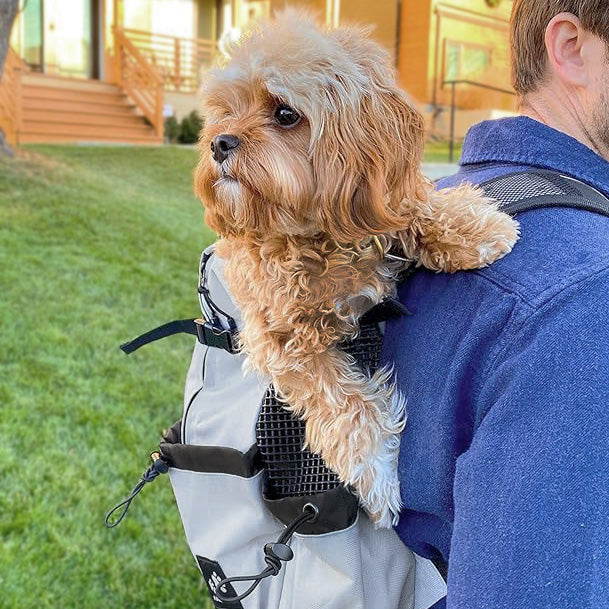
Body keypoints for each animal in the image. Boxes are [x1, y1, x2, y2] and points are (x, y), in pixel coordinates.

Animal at [194, 10, 516, 528]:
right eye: (225, 112)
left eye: (285, 113)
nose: (218, 142)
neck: (315, 236)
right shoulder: (280, 340)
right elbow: (339, 399)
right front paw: (378, 468)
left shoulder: (378, 207)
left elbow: (414, 209)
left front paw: (475, 229)